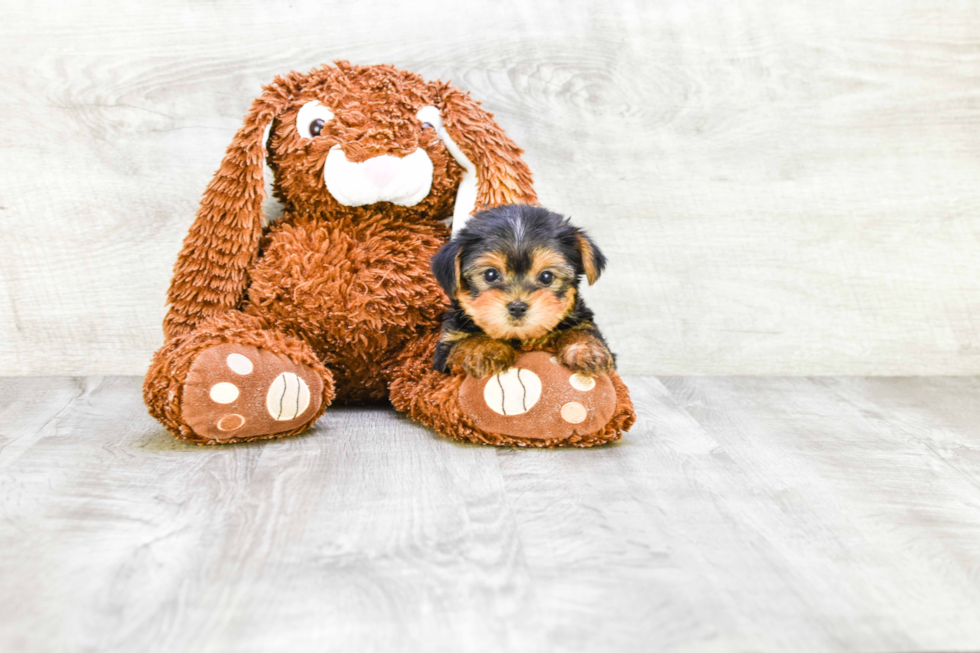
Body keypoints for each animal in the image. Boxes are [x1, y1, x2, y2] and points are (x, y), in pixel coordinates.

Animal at [430, 204, 612, 376]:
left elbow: (582, 329)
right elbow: (463, 341)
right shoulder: (446, 348)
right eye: (490, 274)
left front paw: (586, 349)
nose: (517, 307)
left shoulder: (580, 318)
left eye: (546, 277)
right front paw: (483, 348)